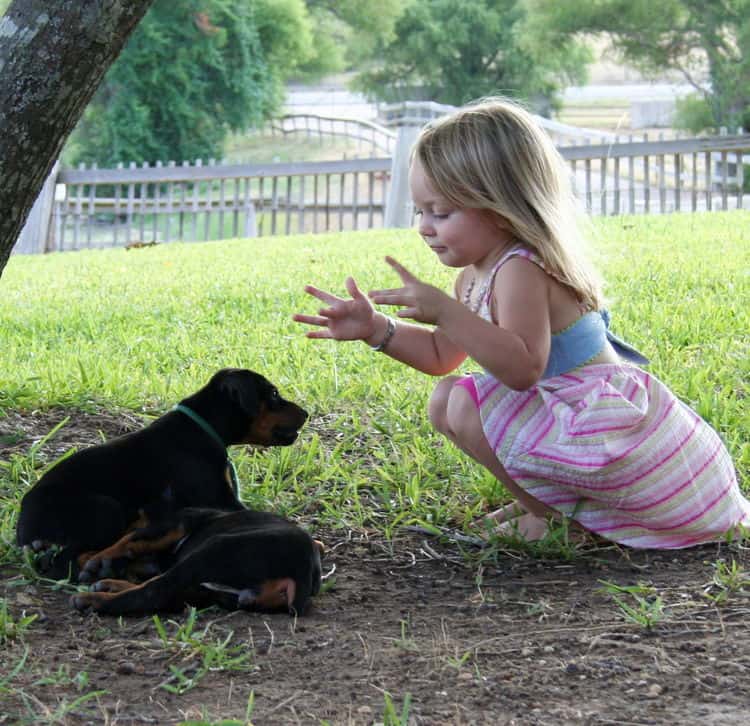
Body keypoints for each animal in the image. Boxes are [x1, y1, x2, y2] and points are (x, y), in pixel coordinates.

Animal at [16, 370, 306, 580]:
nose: (306, 413)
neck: (204, 426)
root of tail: (23, 530)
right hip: (105, 509)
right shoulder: (221, 500)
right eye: (274, 394)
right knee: (63, 563)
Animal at [71, 510, 326, 616]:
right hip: (211, 590)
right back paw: (108, 586)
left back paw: (93, 599)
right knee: (165, 589)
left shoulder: (175, 524)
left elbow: (128, 541)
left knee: (153, 592)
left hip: (213, 549)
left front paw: (93, 560)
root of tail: (305, 569)